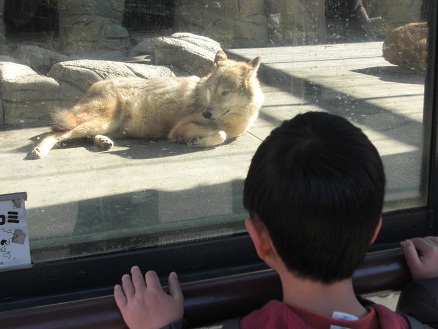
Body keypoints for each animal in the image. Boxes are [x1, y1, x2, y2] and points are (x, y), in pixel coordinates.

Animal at [32, 50, 264, 158]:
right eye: (212, 90)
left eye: (224, 92)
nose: (206, 113)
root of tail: (93, 85)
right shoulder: (179, 128)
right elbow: (221, 135)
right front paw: (198, 141)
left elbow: (221, 134)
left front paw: (197, 140)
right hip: (99, 121)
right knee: (54, 132)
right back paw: (39, 151)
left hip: (110, 127)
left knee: (88, 136)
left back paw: (104, 142)